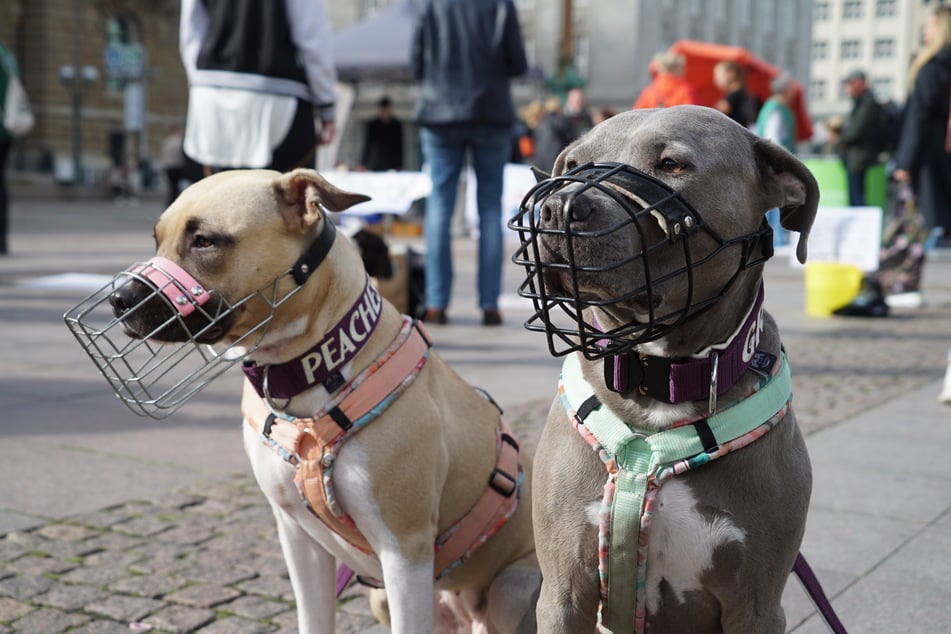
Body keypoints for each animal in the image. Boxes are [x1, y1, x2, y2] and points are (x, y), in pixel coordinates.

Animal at [108, 169, 540, 632]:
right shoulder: (297, 537)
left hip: (511, 588)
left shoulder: (404, 553)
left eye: (205, 240)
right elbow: (312, 617)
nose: (119, 299)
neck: (309, 369)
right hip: (383, 597)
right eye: (157, 239)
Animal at [512, 106, 820, 628]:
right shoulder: (562, 592)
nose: (557, 208)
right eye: (572, 164)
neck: (660, 379)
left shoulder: (756, 605)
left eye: (673, 164)